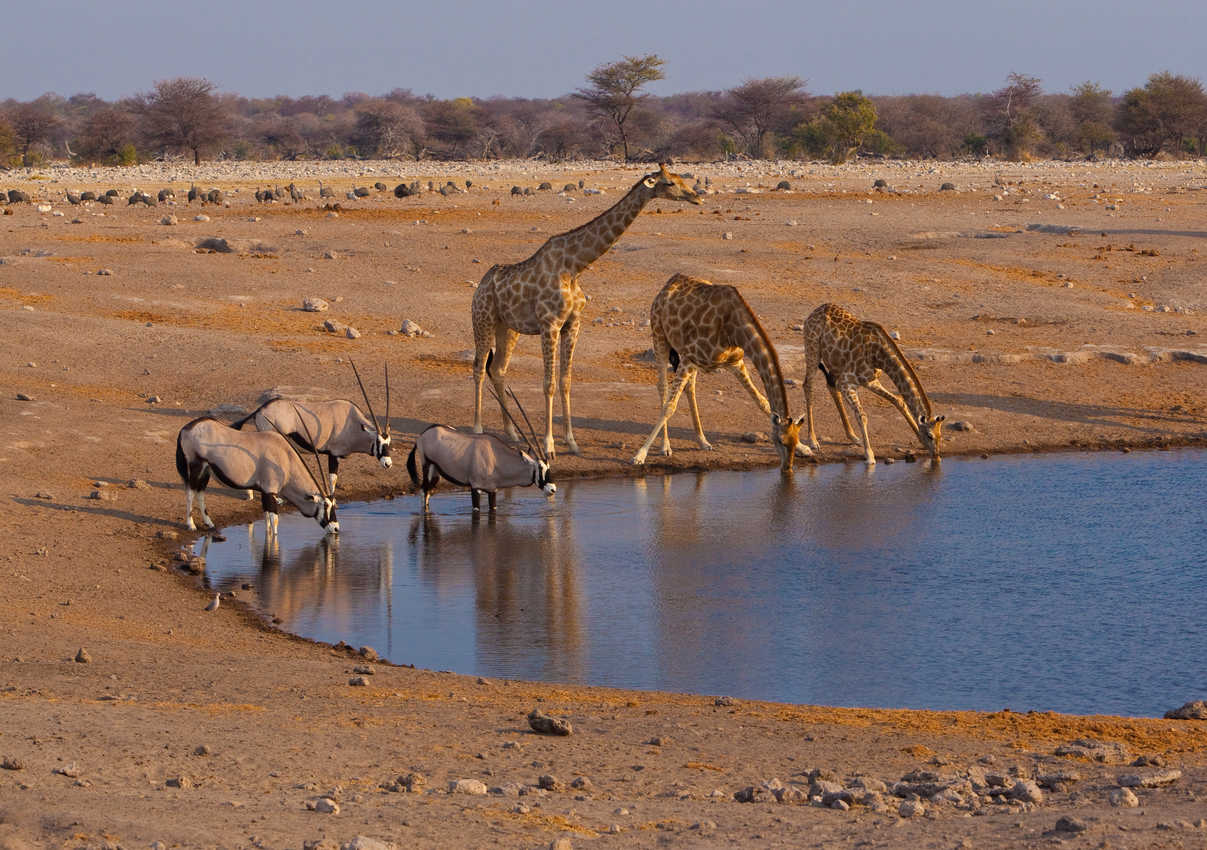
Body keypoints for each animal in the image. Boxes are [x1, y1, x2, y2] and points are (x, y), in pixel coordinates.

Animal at [468, 162, 700, 461]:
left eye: (681, 177)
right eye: (669, 183)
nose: (696, 196)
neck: (575, 266)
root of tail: (481, 285)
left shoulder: (573, 324)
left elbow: (565, 380)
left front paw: (572, 442)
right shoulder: (550, 324)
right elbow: (549, 383)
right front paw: (549, 446)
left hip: (507, 328)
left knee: (497, 369)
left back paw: (511, 433)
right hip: (482, 319)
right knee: (477, 366)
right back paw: (477, 427)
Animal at [627, 274, 806, 468]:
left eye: (794, 441)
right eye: (780, 441)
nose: (787, 468)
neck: (735, 329)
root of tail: (668, 284)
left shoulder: (734, 363)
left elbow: (762, 401)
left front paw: (805, 448)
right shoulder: (689, 357)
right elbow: (670, 406)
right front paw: (640, 455)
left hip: (690, 359)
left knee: (690, 388)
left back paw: (702, 440)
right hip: (660, 337)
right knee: (663, 387)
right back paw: (665, 446)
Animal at [806, 301, 946, 463]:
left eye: (940, 435)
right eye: (930, 435)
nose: (937, 457)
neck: (879, 356)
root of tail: (814, 312)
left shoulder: (870, 381)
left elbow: (899, 401)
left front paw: (919, 439)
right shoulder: (847, 383)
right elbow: (862, 415)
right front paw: (869, 455)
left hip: (835, 364)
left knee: (831, 386)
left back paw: (853, 436)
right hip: (813, 351)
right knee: (807, 385)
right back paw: (813, 440)